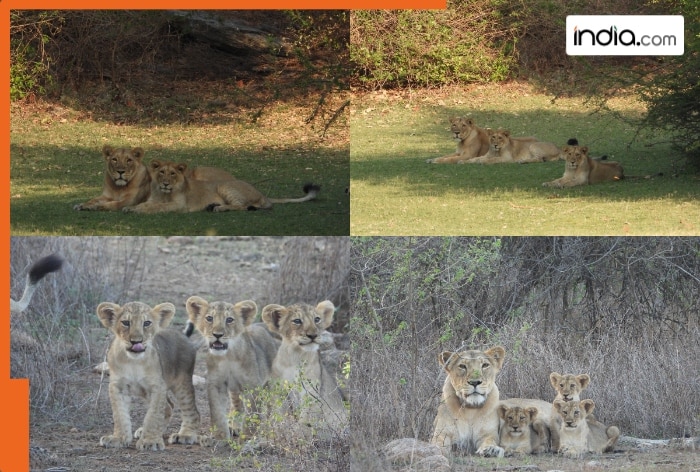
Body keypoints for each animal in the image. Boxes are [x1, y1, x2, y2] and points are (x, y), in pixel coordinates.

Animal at [74, 145, 236, 211]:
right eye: (114, 159)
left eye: (129, 160)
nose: (120, 171)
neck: (118, 187)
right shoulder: (106, 195)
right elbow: (94, 199)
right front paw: (82, 205)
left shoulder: (129, 201)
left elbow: (112, 204)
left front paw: (95, 207)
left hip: (199, 173)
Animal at [97, 301, 200, 450]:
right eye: (126, 323)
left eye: (146, 323)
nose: (136, 341)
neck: (133, 361)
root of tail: (183, 335)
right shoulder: (117, 386)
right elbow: (119, 414)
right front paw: (118, 438)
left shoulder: (157, 386)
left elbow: (153, 414)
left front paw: (150, 441)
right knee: (169, 407)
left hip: (182, 383)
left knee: (191, 410)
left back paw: (185, 435)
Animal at [123, 160, 319, 213]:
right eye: (162, 172)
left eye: (172, 174)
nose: (165, 183)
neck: (163, 193)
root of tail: (262, 193)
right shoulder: (153, 199)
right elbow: (147, 204)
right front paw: (131, 208)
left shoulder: (179, 205)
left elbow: (157, 208)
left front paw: (138, 210)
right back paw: (212, 206)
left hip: (224, 187)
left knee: (242, 206)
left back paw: (219, 208)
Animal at [184, 296, 280, 441]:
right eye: (209, 318)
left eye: (229, 319)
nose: (217, 334)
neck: (228, 356)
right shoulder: (216, 384)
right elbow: (217, 412)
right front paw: (220, 437)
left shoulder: (253, 385)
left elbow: (252, 412)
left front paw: (248, 436)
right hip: (236, 389)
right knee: (237, 406)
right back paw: (234, 427)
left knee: (278, 405)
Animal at [261, 300, 348, 434]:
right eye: (297, 321)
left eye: (317, 319)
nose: (313, 335)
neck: (296, 357)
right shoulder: (279, 389)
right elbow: (280, 411)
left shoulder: (311, 390)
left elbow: (305, 418)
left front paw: (298, 433)